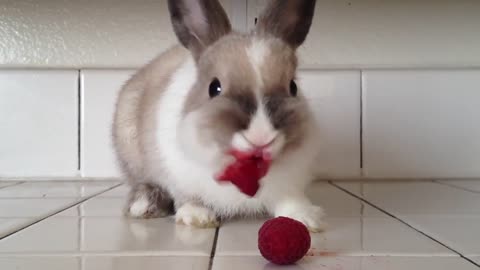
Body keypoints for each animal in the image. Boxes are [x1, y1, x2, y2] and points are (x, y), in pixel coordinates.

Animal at [111, 0, 326, 232]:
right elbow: (187, 197)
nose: (261, 137)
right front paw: (197, 216)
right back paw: (144, 205)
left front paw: (307, 218)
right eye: (214, 88)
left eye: (293, 87)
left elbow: (290, 198)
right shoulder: (177, 174)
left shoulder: (290, 181)